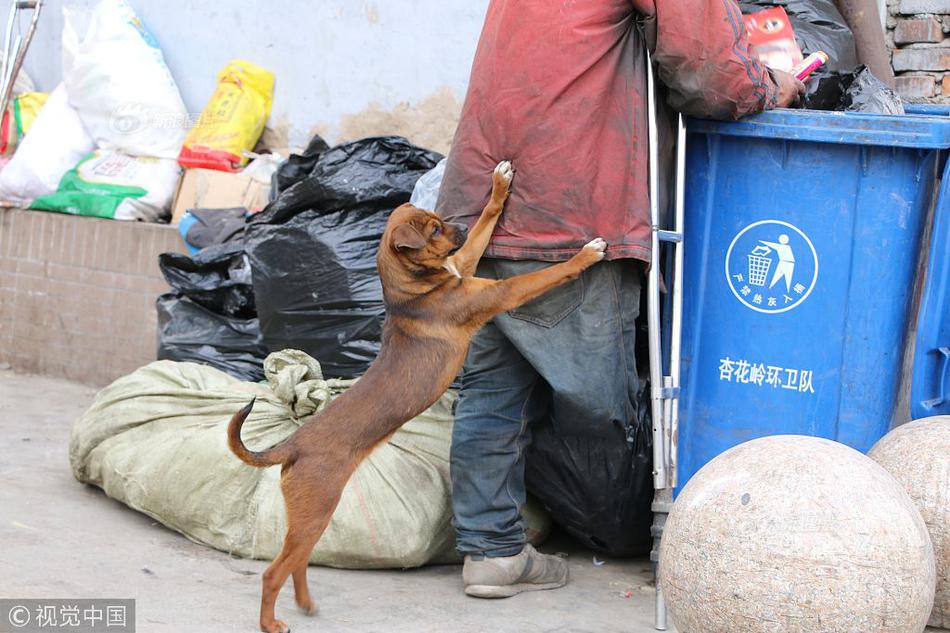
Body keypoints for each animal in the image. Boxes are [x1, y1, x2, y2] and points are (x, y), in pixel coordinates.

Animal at [227, 160, 608, 628]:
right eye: (434, 230)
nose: (458, 224)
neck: (413, 289)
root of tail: (292, 444)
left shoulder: (464, 262)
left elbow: (484, 231)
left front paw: (498, 187)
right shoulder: (498, 294)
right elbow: (544, 275)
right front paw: (586, 254)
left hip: (314, 517)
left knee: (296, 561)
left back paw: (306, 603)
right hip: (316, 509)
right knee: (273, 572)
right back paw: (272, 622)